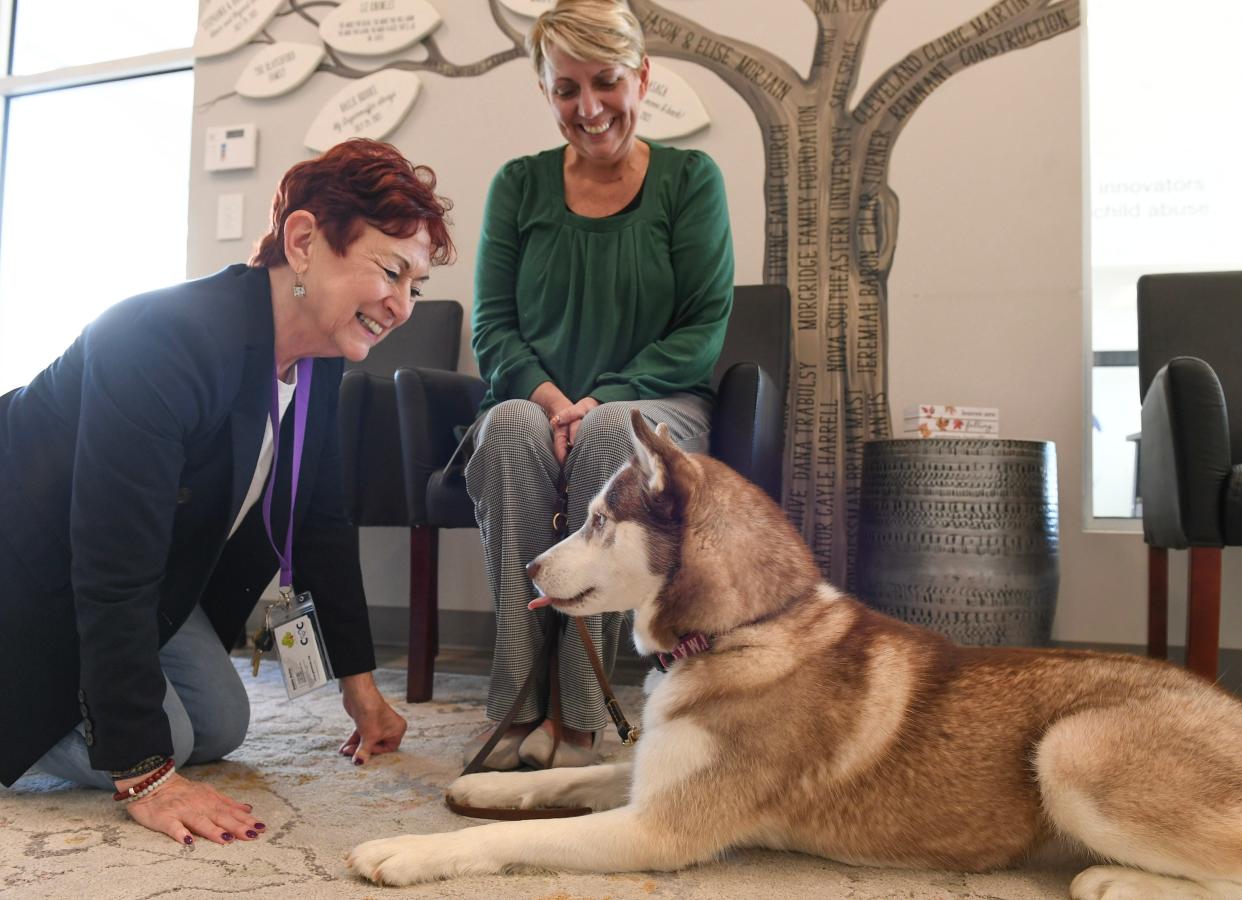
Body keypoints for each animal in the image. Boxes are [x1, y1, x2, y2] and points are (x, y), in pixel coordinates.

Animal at [347, 409, 1242, 893]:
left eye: (597, 520)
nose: (531, 567)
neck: (742, 629)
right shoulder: (653, 775)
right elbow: (567, 778)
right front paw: (487, 783)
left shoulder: (657, 831)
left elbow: (503, 840)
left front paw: (408, 848)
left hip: (1069, 749)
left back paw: (1113, 878)